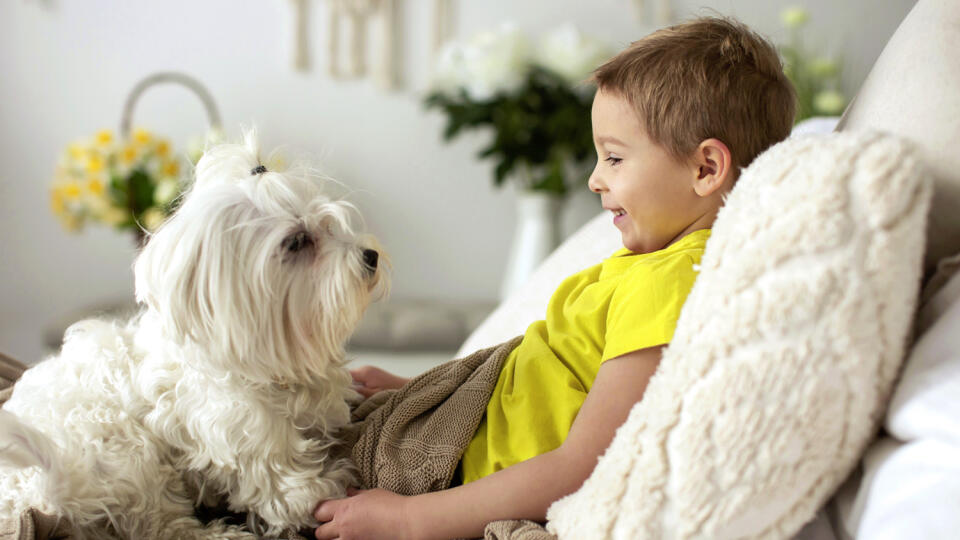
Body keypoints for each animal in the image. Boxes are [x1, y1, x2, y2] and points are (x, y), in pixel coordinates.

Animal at [0, 132, 386, 540]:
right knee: (165, 527)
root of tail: (39, 493)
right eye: (296, 242)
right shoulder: (242, 433)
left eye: (328, 224)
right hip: (126, 452)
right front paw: (322, 488)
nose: (370, 256)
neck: (268, 361)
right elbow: (282, 484)